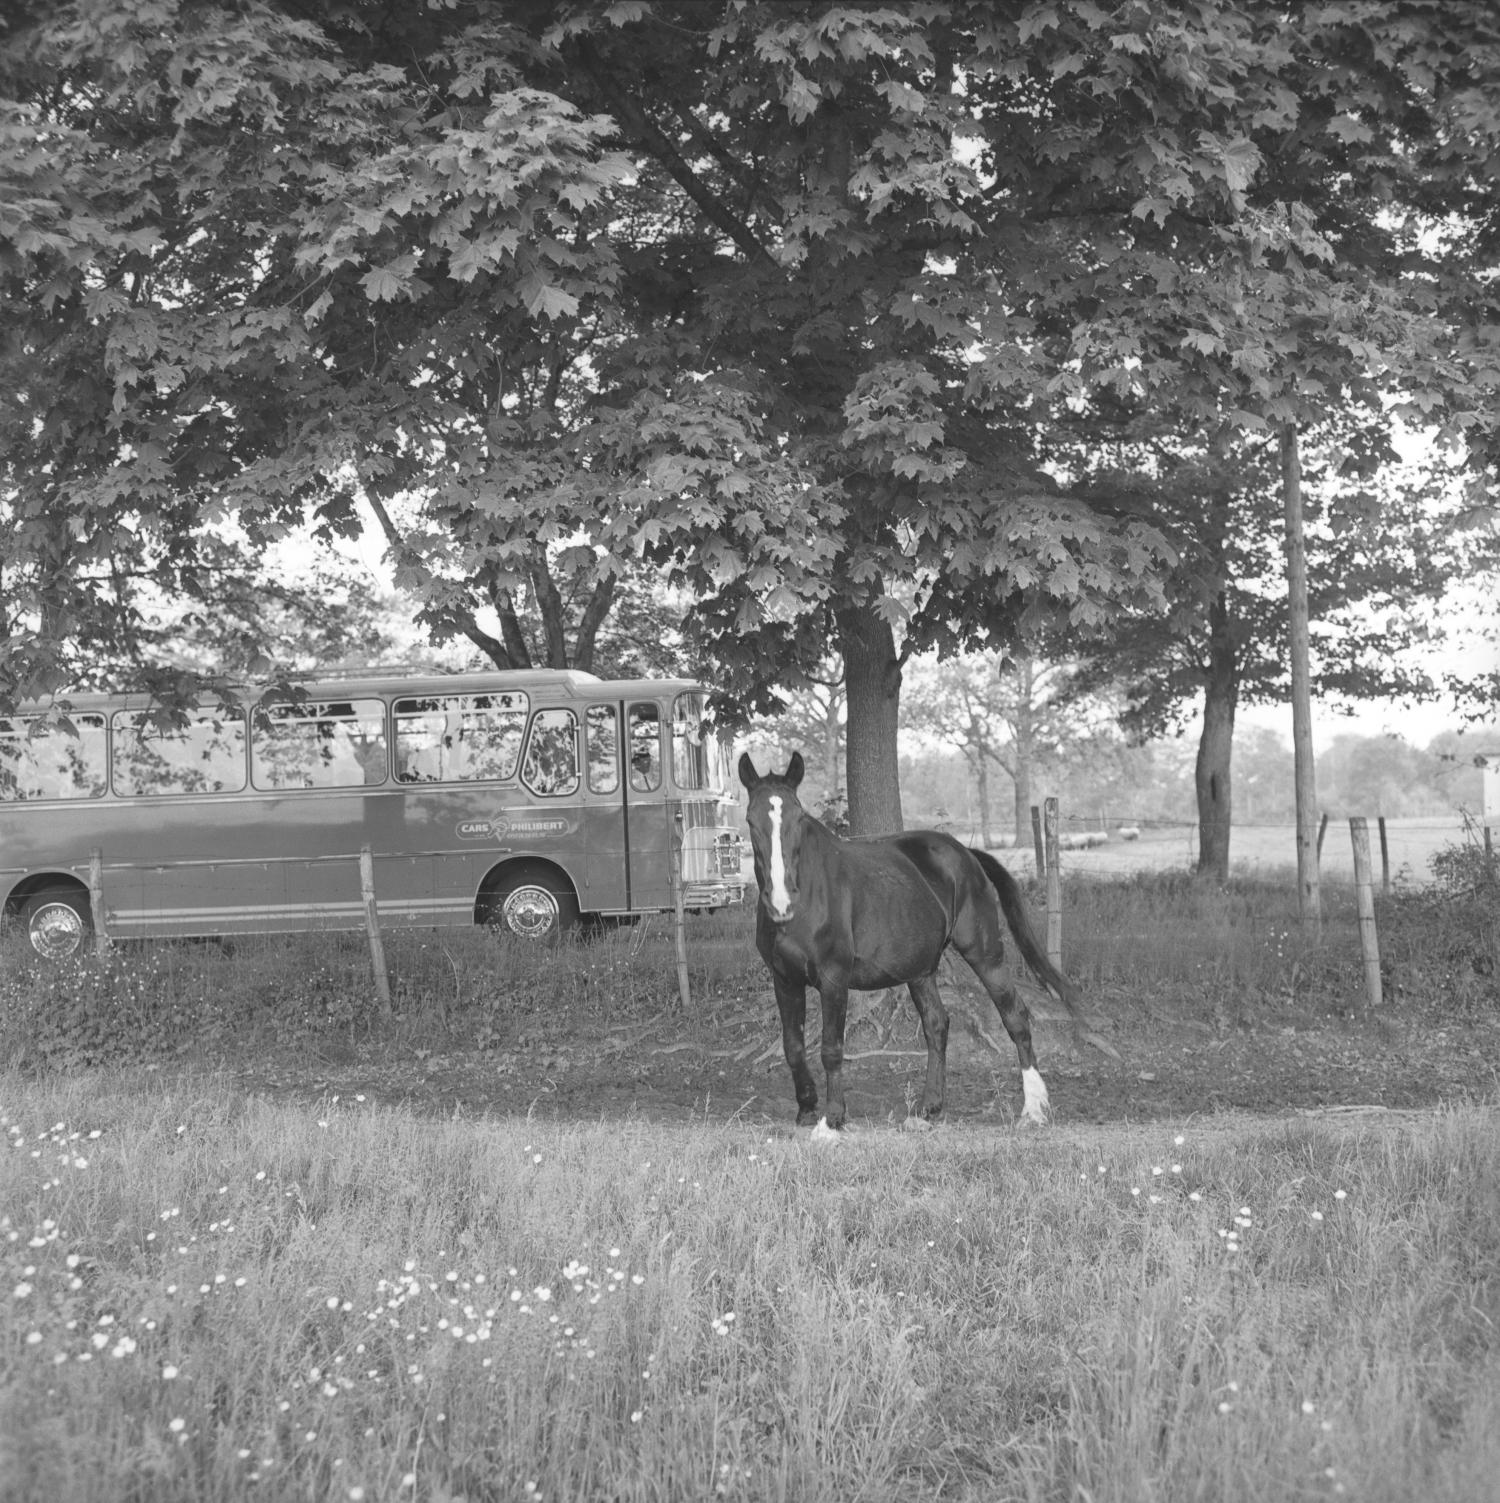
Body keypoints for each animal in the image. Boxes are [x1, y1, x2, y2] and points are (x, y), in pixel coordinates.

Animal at [742, 751, 1088, 1130]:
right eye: (750, 820)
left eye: (799, 817)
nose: (781, 900)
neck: (807, 901)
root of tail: (966, 854)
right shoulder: (784, 979)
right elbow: (793, 1045)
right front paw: (806, 1108)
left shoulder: (834, 979)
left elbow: (831, 1048)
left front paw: (832, 1118)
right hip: (920, 971)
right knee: (937, 1025)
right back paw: (929, 1107)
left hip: (984, 952)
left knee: (1015, 1017)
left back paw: (1034, 1108)